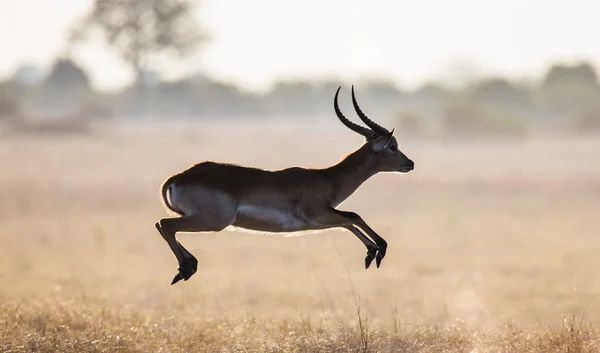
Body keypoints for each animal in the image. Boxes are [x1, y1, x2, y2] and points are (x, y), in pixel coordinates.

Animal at [155, 85, 412, 284]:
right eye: (393, 146)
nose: (410, 163)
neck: (327, 179)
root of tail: (179, 177)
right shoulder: (319, 215)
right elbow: (353, 217)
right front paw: (377, 250)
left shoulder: (322, 219)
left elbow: (348, 220)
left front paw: (371, 252)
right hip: (214, 221)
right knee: (166, 224)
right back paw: (186, 269)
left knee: (161, 225)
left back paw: (188, 266)